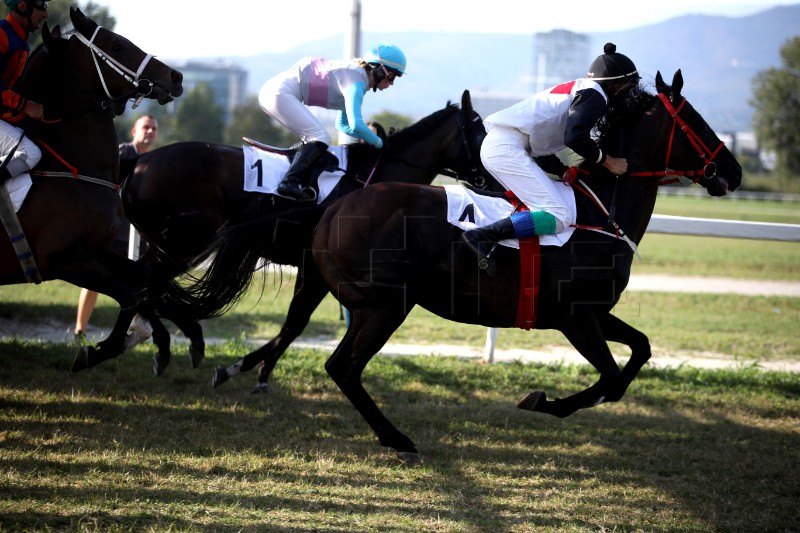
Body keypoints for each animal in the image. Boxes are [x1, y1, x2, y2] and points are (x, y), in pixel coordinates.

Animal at [0, 9, 183, 362]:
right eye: (117, 44)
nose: (176, 76)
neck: (71, 168)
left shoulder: (96, 250)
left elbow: (142, 283)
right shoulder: (65, 261)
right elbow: (131, 296)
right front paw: (97, 352)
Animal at [116, 90, 496, 374]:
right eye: (481, 135)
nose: (495, 182)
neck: (373, 177)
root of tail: (140, 162)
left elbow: (294, 324)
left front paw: (258, 370)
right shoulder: (315, 267)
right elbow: (296, 322)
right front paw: (248, 369)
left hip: (166, 242)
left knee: (139, 277)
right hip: (183, 244)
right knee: (144, 279)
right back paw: (171, 341)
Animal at [156, 68, 744, 464]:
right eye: (694, 120)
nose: (735, 171)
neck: (598, 213)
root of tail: (331, 207)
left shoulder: (594, 311)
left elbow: (637, 354)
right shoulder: (574, 317)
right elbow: (608, 375)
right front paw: (541, 400)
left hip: (349, 294)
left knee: (314, 345)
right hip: (385, 306)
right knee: (341, 365)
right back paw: (397, 437)